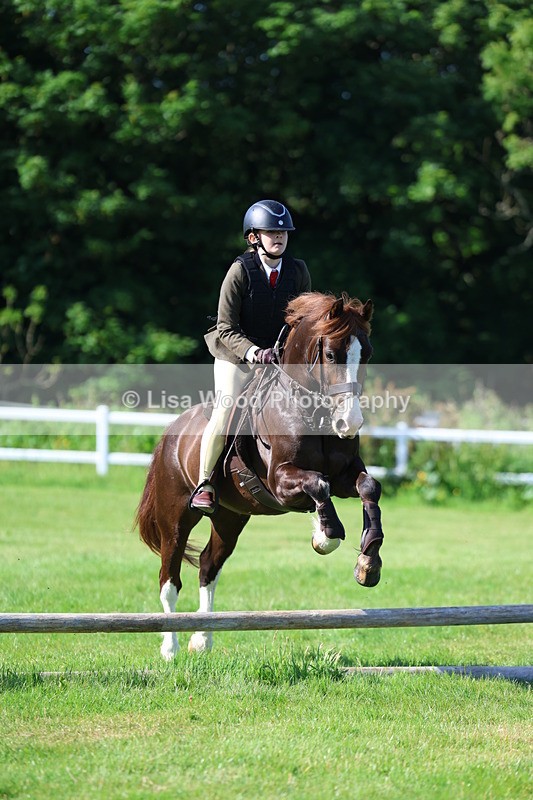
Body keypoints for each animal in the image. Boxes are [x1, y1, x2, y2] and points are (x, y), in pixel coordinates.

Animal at [136, 292, 384, 659]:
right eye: (330, 354)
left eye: (365, 354)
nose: (349, 423)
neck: (311, 411)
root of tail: (171, 431)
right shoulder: (281, 481)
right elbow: (317, 484)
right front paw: (324, 536)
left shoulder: (345, 475)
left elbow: (368, 486)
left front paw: (368, 561)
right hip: (175, 517)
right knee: (170, 579)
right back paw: (170, 646)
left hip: (230, 517)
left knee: (208, 566)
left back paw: (202, 639)